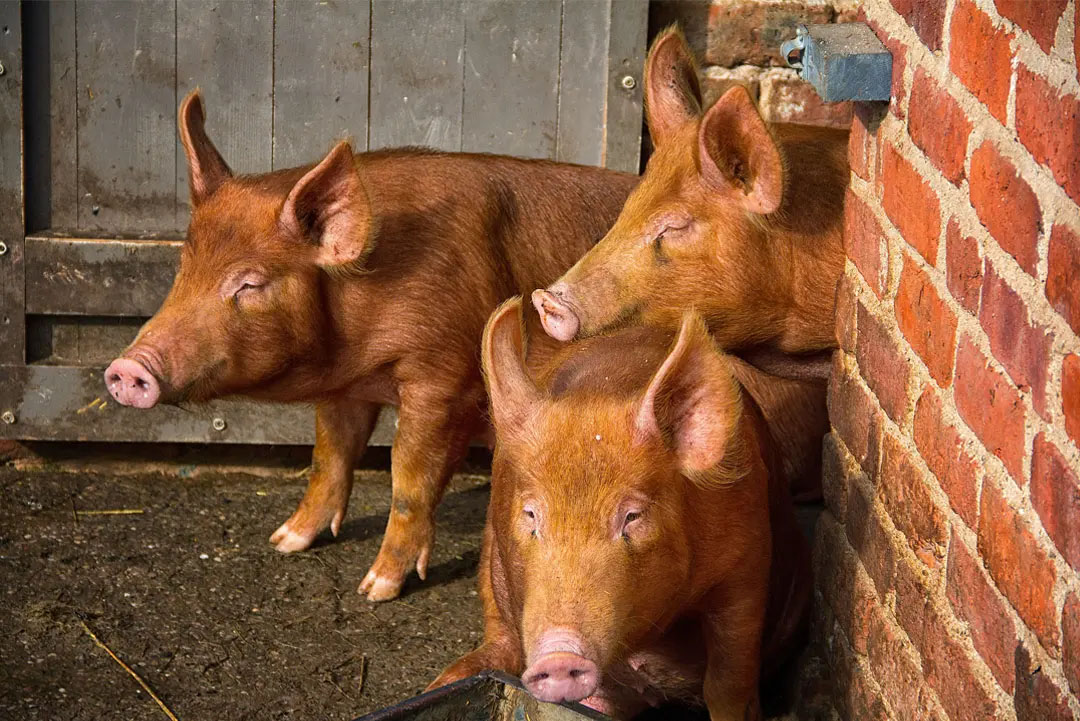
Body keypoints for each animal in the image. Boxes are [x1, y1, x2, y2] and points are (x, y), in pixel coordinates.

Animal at [103, 89, 640, 601]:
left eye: (249, 284)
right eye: (183, 268)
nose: (128, 368)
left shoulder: (442, 378)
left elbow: (409, 477)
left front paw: (376, 589)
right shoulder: (346, 389)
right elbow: (329, 457)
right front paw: (285, 542)